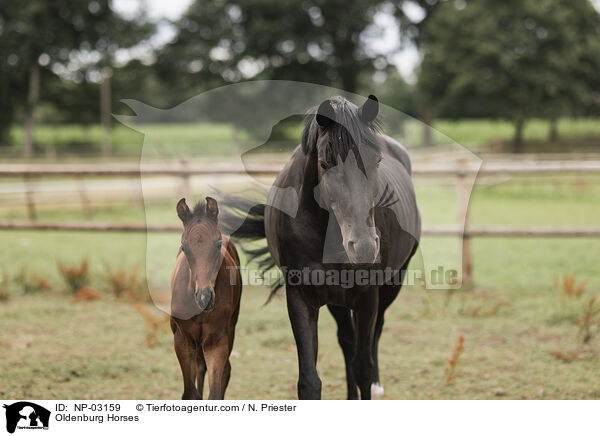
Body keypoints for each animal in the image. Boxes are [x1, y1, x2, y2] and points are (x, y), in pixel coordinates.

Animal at [169, 197, 241, 398]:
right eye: (184, 247)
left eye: (217, 244)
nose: (204, 298)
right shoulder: (182, 340)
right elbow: (189, 393)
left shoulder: (216, 341)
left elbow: (215, 392)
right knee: (200, 367)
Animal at [223, 94, 420, 398]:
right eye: (326, 164)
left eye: (376, 161)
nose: (363, 247)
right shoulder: (301, 297)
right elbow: (309, 380)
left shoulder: (368, 296)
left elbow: (363, 368)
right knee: (347, 340)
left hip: (392, 283)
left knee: (373, 336)